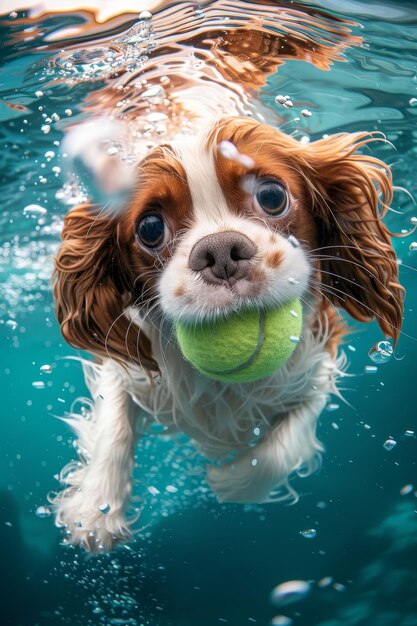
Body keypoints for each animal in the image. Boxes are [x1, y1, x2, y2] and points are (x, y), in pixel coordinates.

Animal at [52, 114, 404, 548]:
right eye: (150, 228)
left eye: (271, 196)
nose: (220, 250)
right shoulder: (128, 365)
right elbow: (112, 427)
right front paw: (94, 510)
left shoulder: (319, 359)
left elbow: (280, 449)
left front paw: (228, 480)